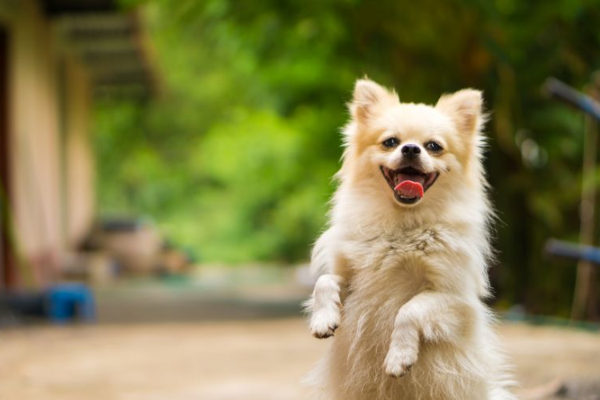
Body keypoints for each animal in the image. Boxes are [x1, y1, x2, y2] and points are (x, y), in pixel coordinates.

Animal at [308, 79, 512, 400]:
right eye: (391, 142)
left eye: (434, 147)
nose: (411, 148)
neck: (403, 224)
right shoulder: (353, 280)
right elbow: (325, 281)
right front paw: (322, 319)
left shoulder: (453, 299)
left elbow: (409, 310)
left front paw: (398, 358)